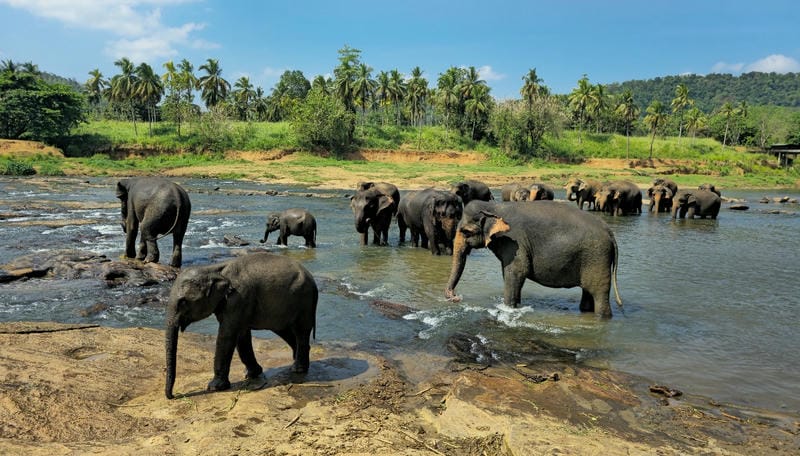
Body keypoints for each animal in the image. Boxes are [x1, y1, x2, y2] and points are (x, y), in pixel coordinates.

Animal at [164, 253, 318, 400]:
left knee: (300, 331)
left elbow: (227, 335)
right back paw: (295, 359)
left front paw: (214, 387)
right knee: (283, 330)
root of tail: (312, 279)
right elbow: (241, 336)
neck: (212, 269)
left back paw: (298, 369)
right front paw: (252, 374)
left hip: (304, 301)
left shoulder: (239, 298)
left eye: (183, 302)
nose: (173, 396)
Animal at [444, 200, 624, 318]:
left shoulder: (514, 241)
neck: (494, 207)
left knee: (600, 296)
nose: (455, 297)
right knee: (587, 294)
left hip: (597, 258)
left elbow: (516, 272)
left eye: (466, 231)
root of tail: (610, 233)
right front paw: (516, 305)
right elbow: (511, 276)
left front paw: (507, 309)